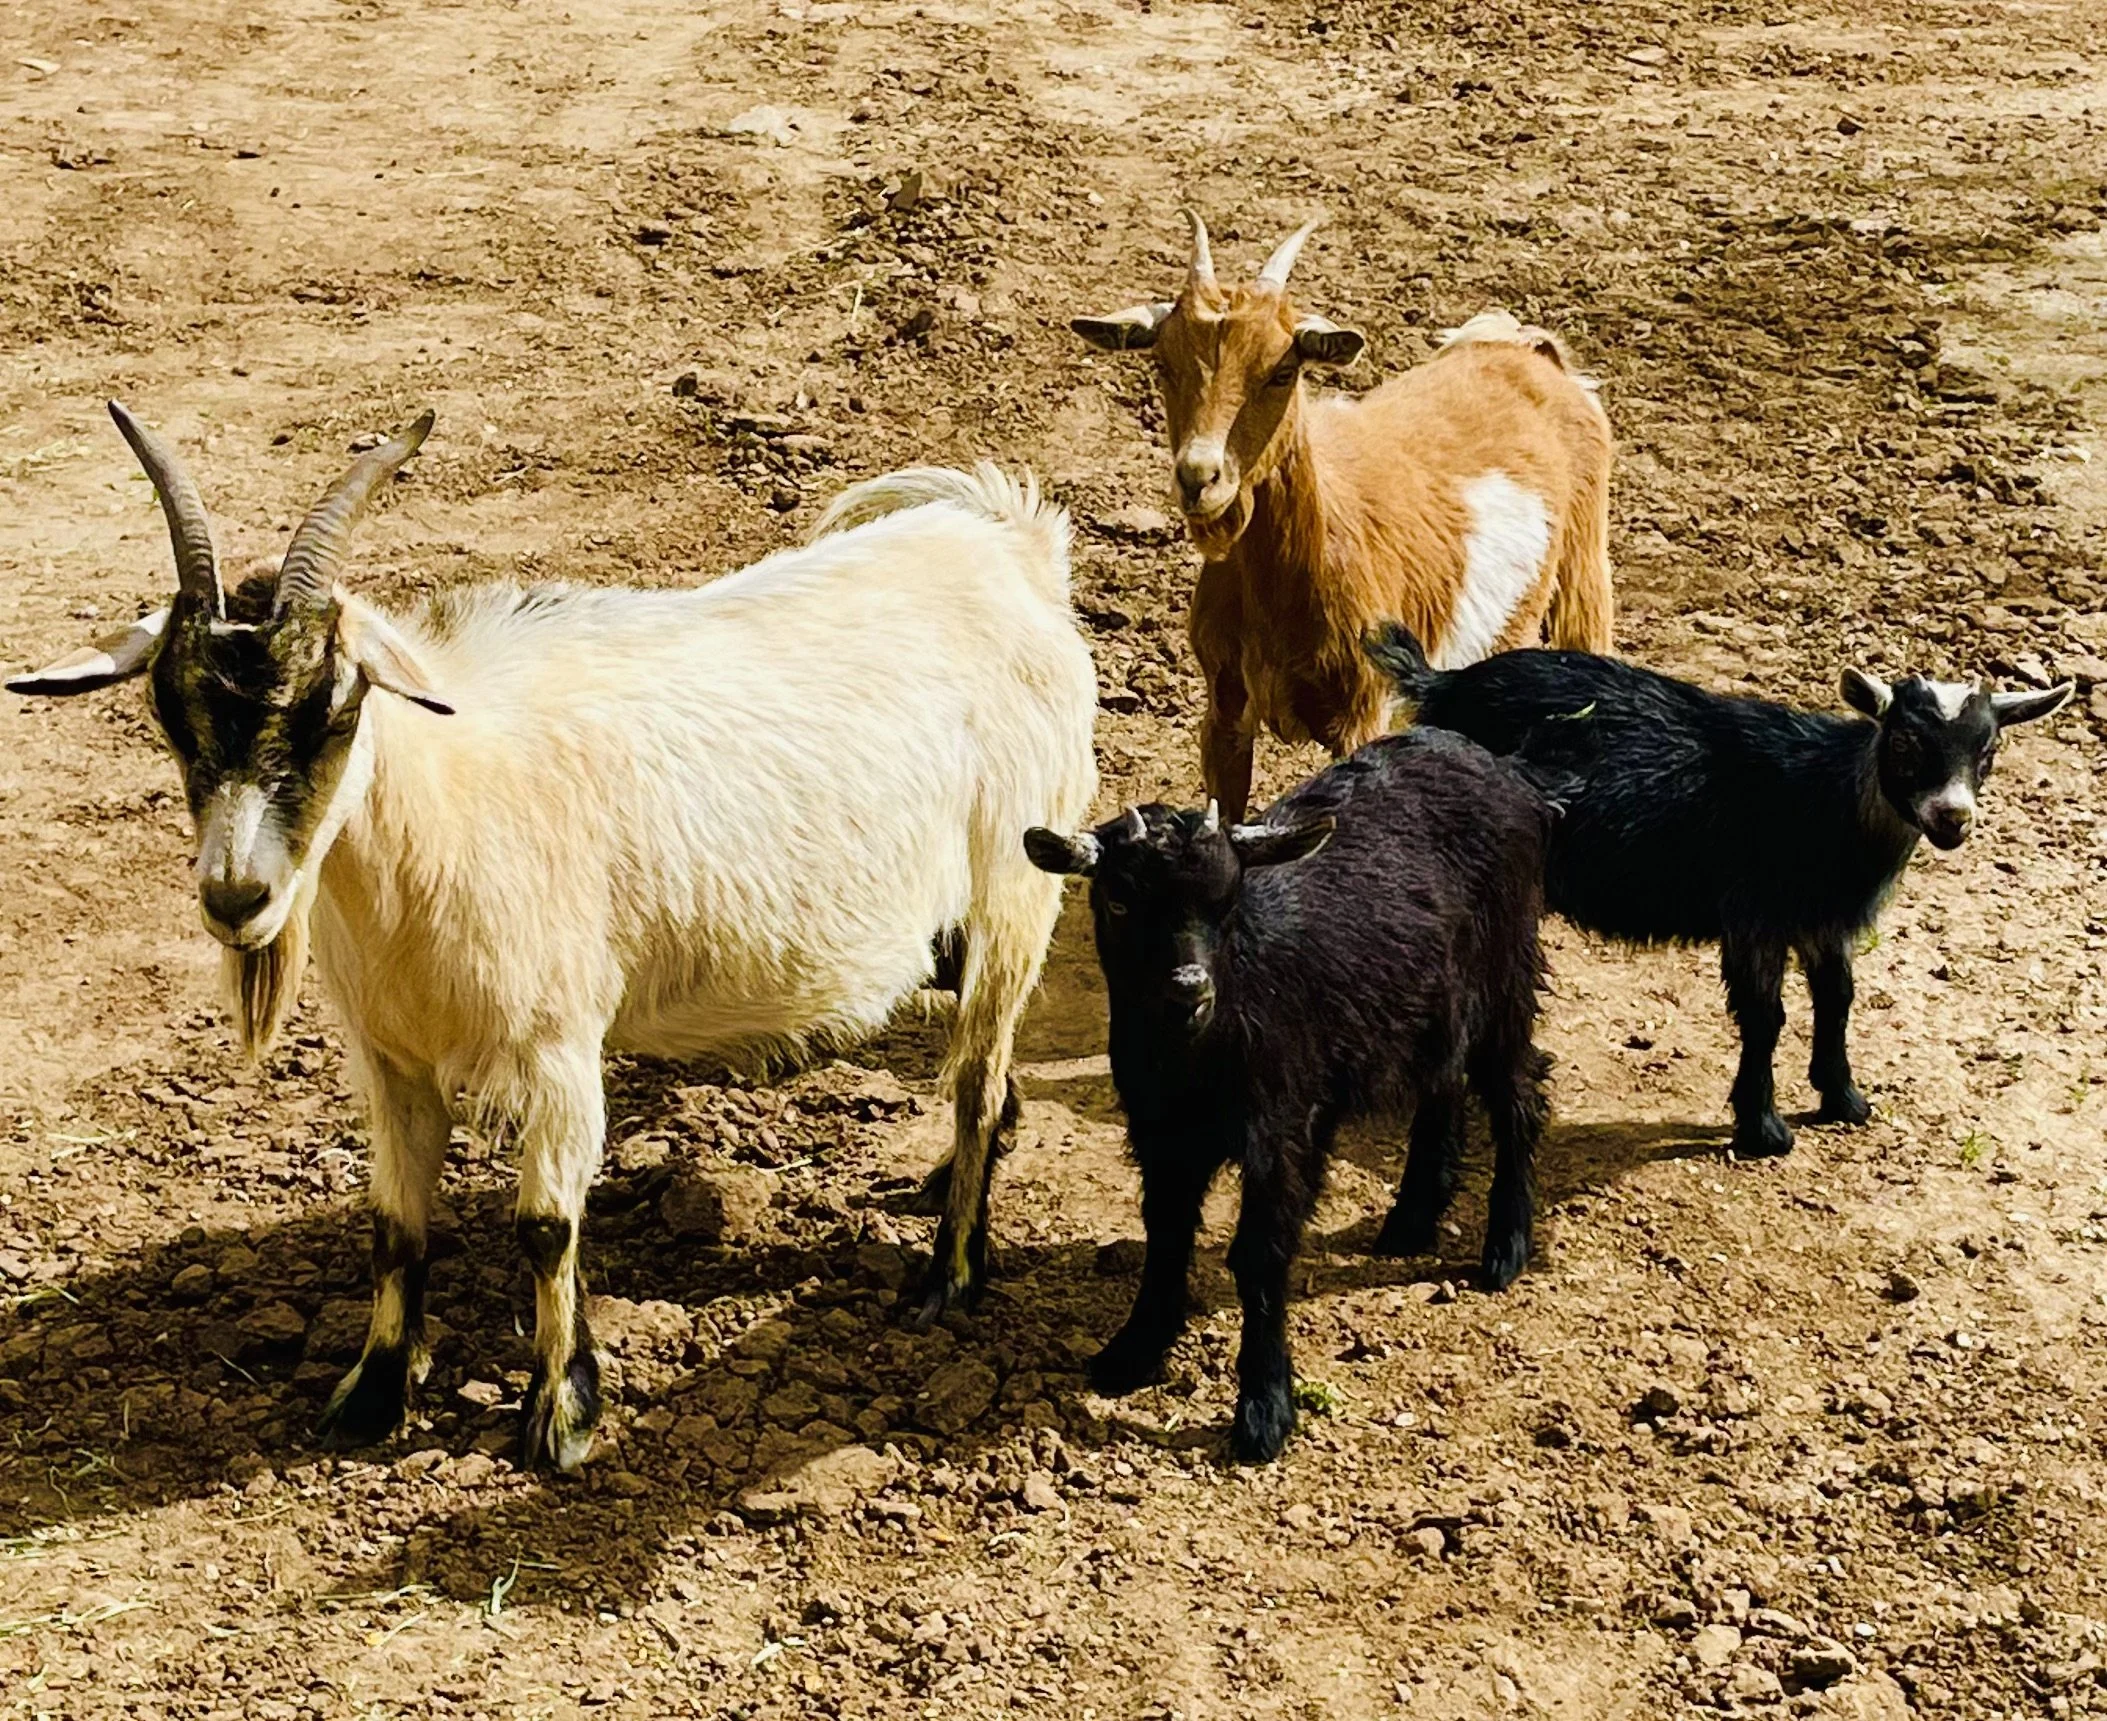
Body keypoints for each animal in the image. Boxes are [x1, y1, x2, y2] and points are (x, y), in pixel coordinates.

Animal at [9, 405, 1098, 1469]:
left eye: (336, 705)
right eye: (170, 709)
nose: (238, 898)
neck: (446, 805)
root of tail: (1009, 544)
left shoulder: (561, 1044)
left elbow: (545, 1225)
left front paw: (562, 1414)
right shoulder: (390, 1056)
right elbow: (393, 1226)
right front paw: (373, 1392)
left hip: (1017, 886)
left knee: (974, 1077)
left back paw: (950, 1272)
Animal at [1025, 729, 1553, 1461]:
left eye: (1228, 901)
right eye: (1120, 901)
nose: (1189, 991)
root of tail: (1499, 766)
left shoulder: (1282, 1128)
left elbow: (1257, 1254)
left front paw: (1263, 1410)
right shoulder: (1160, 1130)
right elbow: (1165, 1231)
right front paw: (1133, 1351)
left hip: (1505, 969)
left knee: (1517, 1093)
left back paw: (1505, 1247)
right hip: (1431, 997)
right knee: (1441, 1081)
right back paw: (1411, 1220)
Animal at [1073, 210, 1615, 822]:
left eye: (1282, 371)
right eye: (1163, 364)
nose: (1199, 477)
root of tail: (1531, 353)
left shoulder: (1365, 710)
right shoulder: (1224, 709)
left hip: (1583, 576)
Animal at [1368, 623, 2073, 1159]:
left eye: (1989, 748)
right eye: (1903, 739)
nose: (1953, 818)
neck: (1822, 797)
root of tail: (1442, 683)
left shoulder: (1824, 922)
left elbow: (1838, 999)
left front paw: (1843, 1098)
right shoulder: (1754, 916)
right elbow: (1766, 1016)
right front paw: (1763, 1129)